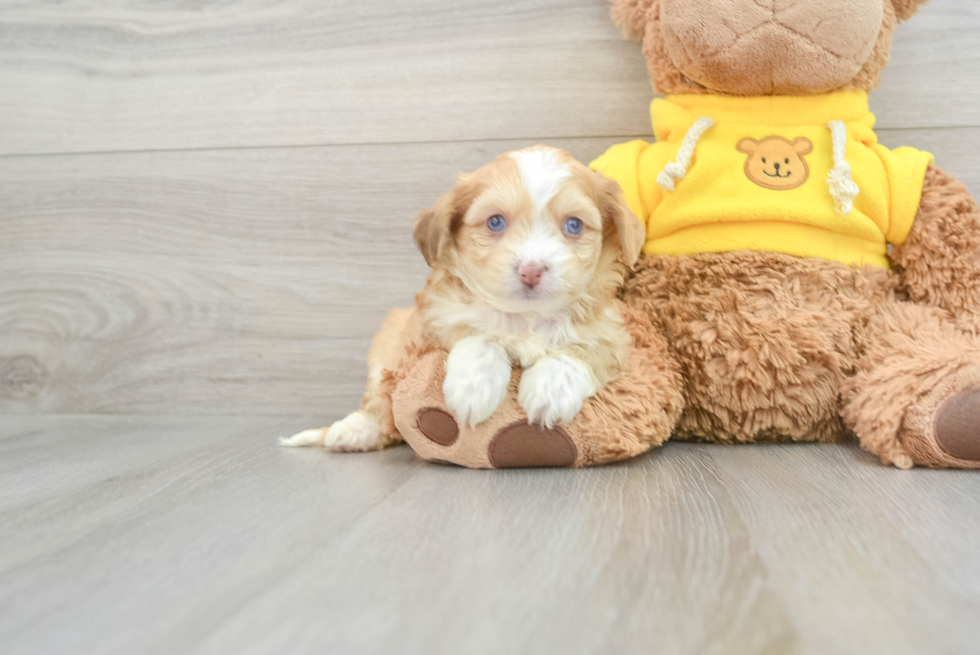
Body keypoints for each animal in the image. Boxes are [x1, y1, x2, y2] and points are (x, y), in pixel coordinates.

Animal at [284, 145, 648, 452]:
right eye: (495, 222)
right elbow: (479, 336)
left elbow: (577, 353)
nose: (531, 270)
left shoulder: (614, 338)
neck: (525, 318)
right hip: (388, 342)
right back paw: (355, 430)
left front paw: (550, 391)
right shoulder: (433, 322)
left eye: (574, 225)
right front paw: (474, 387)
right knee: (379, 403)